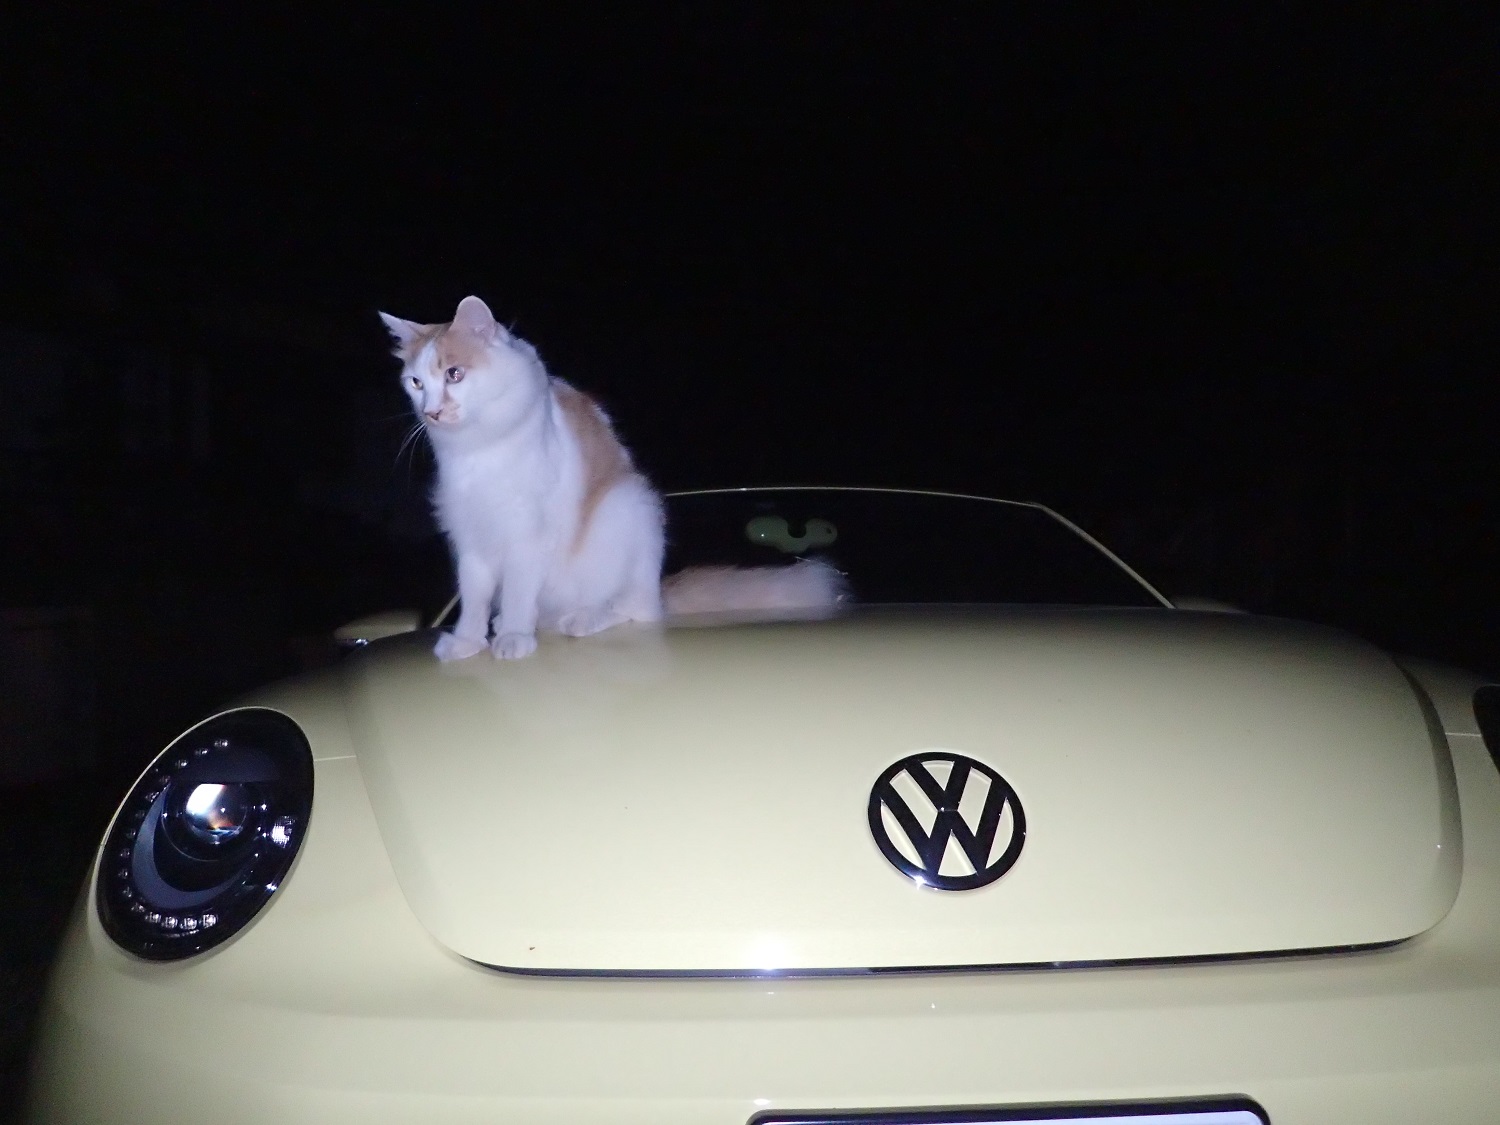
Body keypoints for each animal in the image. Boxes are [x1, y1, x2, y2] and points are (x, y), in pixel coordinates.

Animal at [380, 295, 843, 660]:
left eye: (455, 374)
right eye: (416, 382)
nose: (431, 412)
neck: (477, 450)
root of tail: (659, 591)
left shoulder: (527, 534)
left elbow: (516, 593)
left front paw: (512, 636)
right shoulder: (471, 536)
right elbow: (474, 601)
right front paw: (468, 642)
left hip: (630, 507)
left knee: (634, 610)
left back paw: (580, 619)